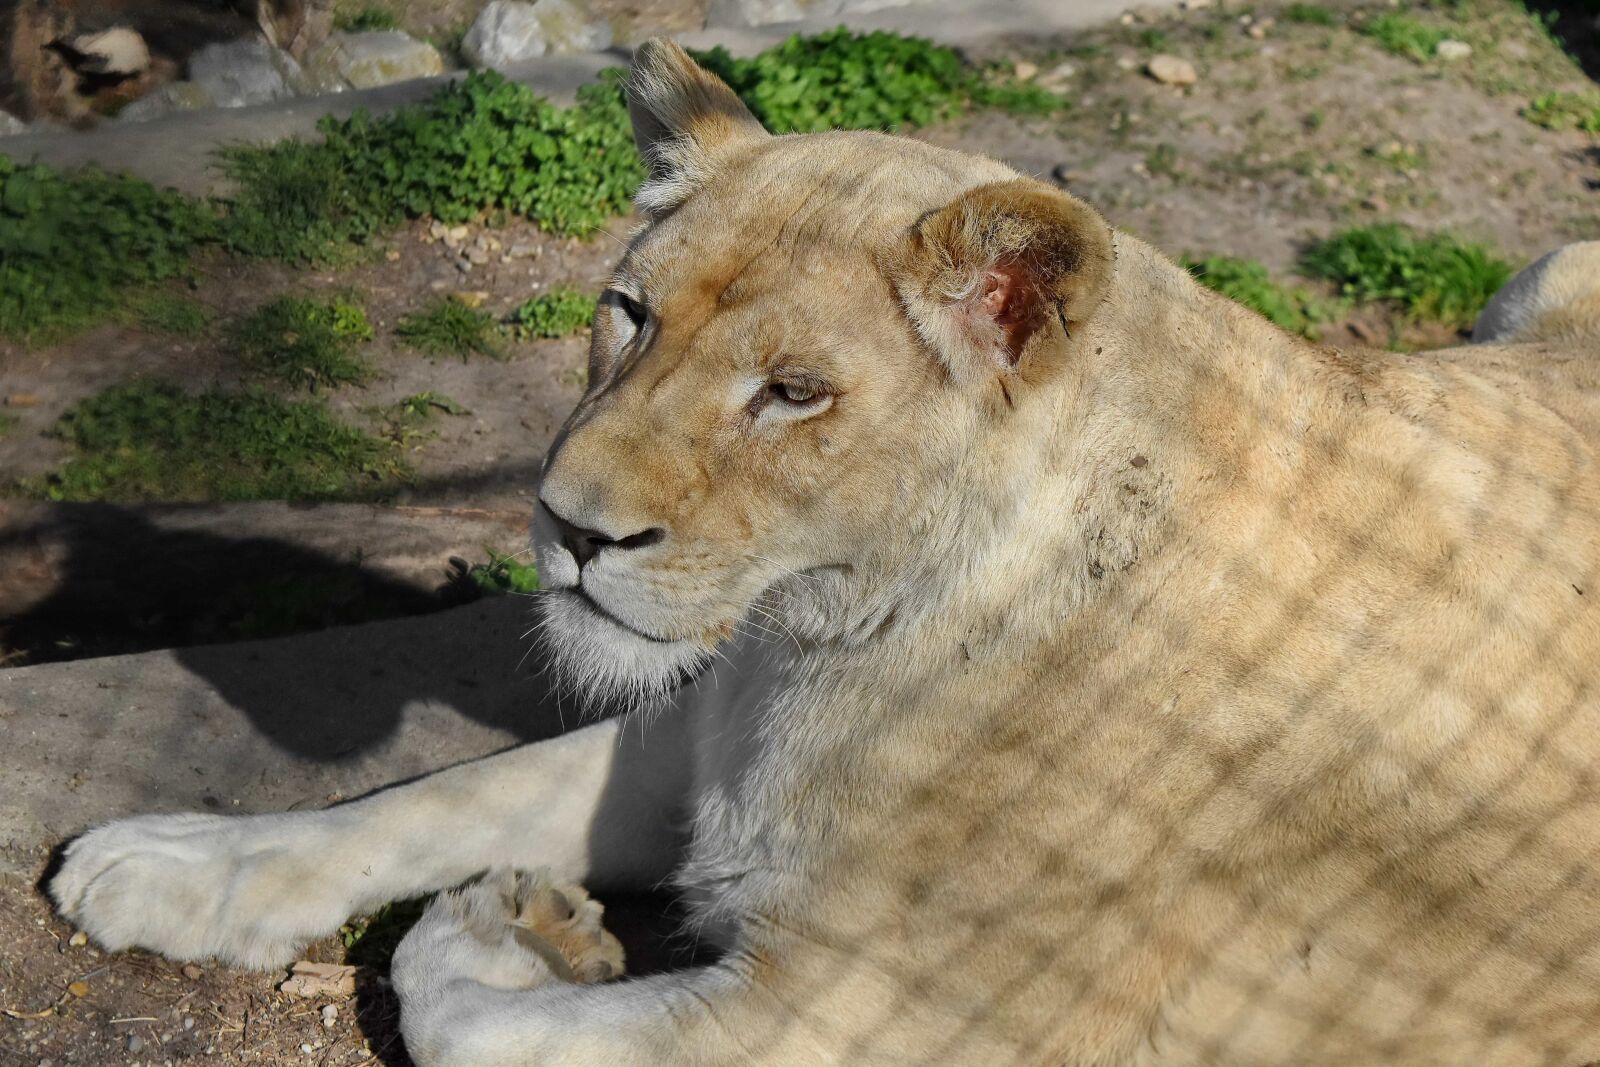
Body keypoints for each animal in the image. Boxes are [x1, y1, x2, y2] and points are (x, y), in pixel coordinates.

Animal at [47, 39, 1600, 1067]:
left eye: (792, 392)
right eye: (629, 311)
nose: (567, 523)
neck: (827, 637)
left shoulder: (872, 1015)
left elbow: (463, 1011)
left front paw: (517, 931)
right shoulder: (700, 742)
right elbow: (427, 796)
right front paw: (171, 860)